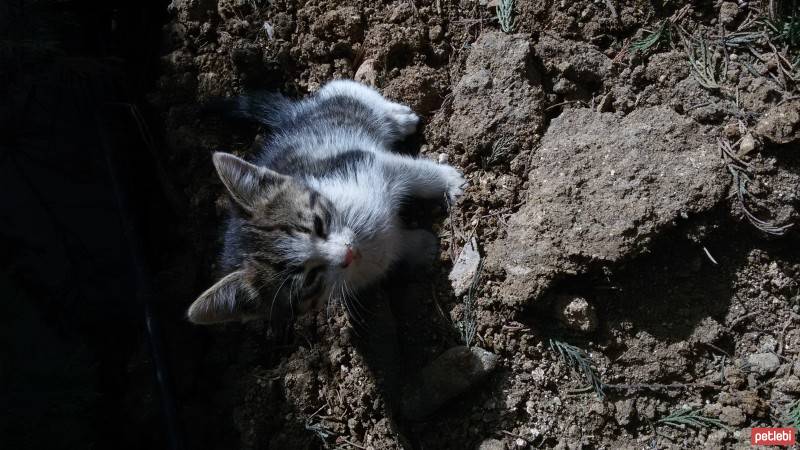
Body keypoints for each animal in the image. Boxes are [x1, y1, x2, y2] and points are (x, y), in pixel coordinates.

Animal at [186, 78, 462, 324]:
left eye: (319, 224)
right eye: (310, 279)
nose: (348, 254)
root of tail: (294, 114)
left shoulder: (366, 164)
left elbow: (415, 173)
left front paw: (451, 182)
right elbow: (394, 248)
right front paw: (422, 247)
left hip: (341, 101)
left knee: (351, 91)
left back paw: (399, 117)